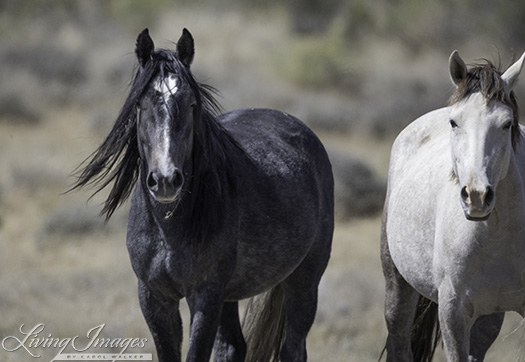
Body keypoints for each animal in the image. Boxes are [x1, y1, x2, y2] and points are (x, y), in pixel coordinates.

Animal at [70, 29, 332, 362]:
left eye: (191, 103)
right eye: (140, 105)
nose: (165, 180)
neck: (168, 229)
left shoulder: (205, 295)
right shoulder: (154, 298)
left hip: (304, 279)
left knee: (293, 347)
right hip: (231, 295)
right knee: (233, 346)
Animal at [380, 51, 524, 362]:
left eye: (507, 124)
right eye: (454, 122)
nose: (477, 195)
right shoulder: (453, 312)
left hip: (487, 315)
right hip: (397, 285)